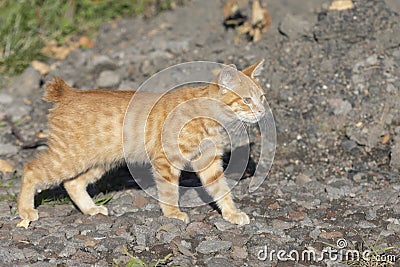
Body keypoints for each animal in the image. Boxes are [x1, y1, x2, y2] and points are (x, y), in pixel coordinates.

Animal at [18, 60, 266, 226]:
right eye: (247, 100)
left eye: (262, 97)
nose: (263, 111)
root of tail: (70, 93)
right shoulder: (165, 161)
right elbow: (169, 191)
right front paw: (172, 214)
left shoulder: (208, 161)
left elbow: (221, 190)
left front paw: (231, 213)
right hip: (68, 158)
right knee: (31, 170)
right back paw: (25, 211)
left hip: (98, 162)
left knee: (73, 184)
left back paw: (90, 209)